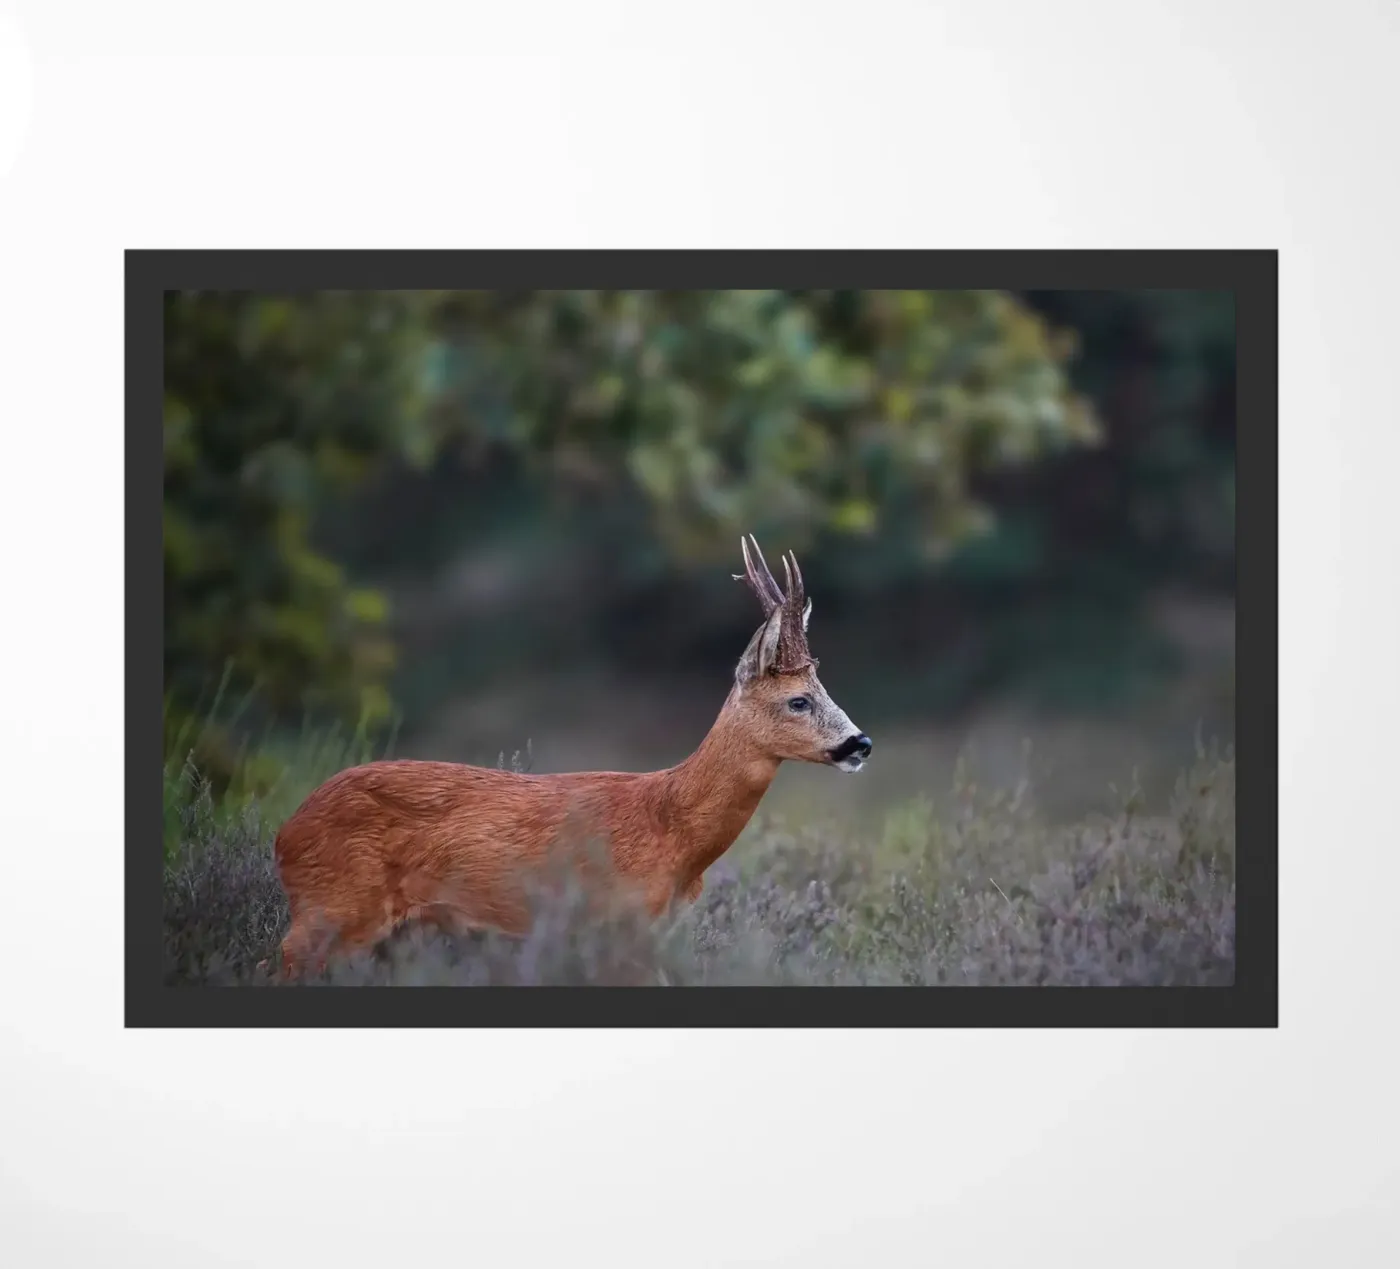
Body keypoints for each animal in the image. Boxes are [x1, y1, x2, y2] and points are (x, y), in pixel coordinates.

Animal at [269, 535, 872, 977]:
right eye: (799, 700)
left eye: (824, 689)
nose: (860, 744)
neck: (672, 830)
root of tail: (285, 833)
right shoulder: (618, 922)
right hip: (334, 908)